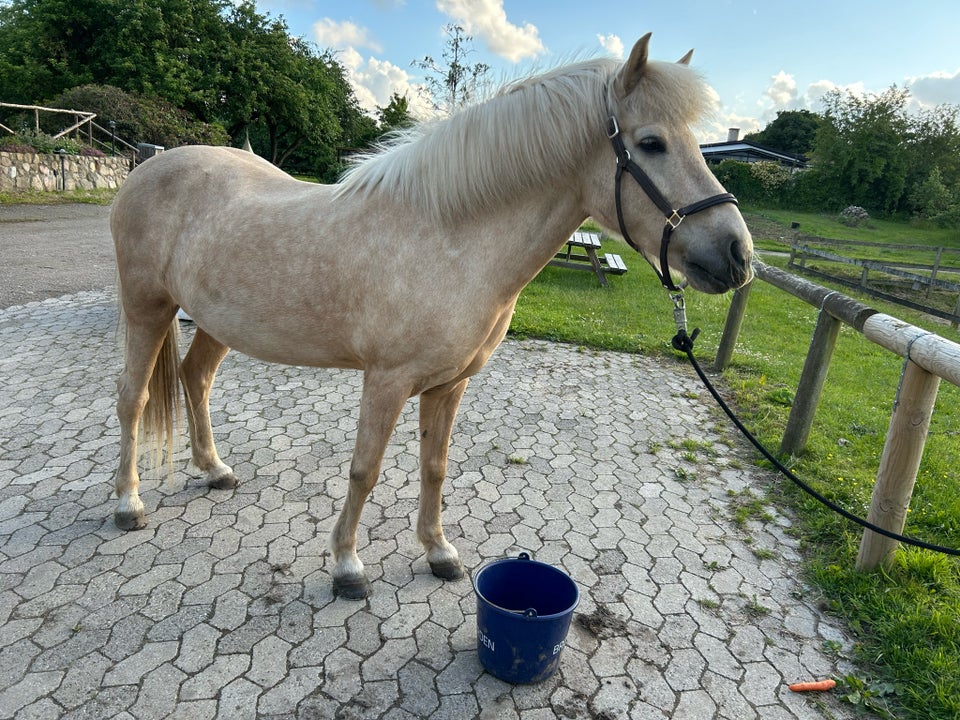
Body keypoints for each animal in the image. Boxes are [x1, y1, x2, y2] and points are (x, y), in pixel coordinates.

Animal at [110, 32, 752, 596]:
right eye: (651, 143)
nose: (738, 255)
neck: (450, 236)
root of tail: (147, 168)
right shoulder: (386, 380)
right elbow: (365, 468)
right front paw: (347, 565)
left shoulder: (449, 384)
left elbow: (434, 466)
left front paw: (439, 552)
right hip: (147, 308)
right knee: (133, 399)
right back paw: (127, 503)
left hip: (218, 322)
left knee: (195, 379)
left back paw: (215, 470)